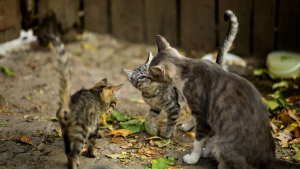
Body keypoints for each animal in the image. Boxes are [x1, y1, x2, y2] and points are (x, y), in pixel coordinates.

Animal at [44, 34, 124, 169]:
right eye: (115, 103)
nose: (113, 110)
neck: (96, 93)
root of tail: (67, 105)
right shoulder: (94, 125)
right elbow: (92, 142)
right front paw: (92, 154)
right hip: (79, 132)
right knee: (73, 154)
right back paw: (75, 164)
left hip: (66, 132)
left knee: (68, 151)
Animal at [145, 10, 298, 169]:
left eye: (150, 75)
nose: (146, 77)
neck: (187, 68)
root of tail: (268, 158)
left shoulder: (204, 116)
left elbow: (198, 141)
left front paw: (193, 158)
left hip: (225, 142)